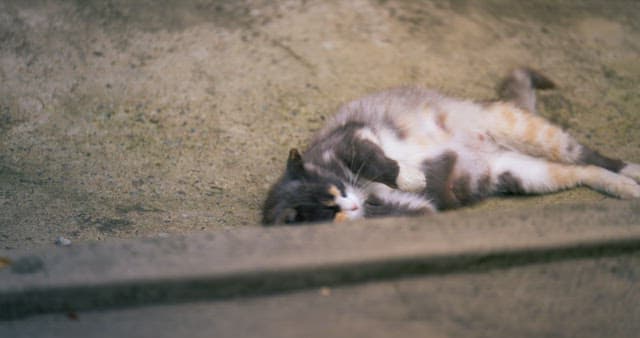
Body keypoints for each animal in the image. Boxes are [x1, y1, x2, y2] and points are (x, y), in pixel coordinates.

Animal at [262, 67, 640, 226]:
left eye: (336, 191)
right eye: (329, 212)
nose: (352, 204)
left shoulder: (349, 136)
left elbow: (374, 160)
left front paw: (411, 176)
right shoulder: (417, 210)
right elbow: (407, 208)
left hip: (524, 129)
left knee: (588, 155)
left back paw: (630, 171)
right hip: (523, 174)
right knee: (581, 171)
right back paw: (626, 189)